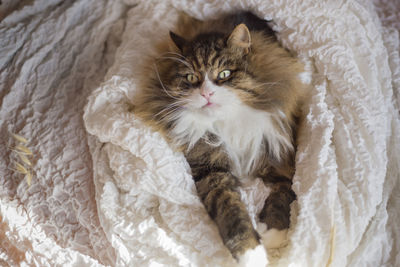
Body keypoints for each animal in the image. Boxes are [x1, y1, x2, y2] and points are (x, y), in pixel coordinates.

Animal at [134, 11, 306, 267]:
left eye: (224, 74)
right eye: (191, 77)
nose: (207, 93)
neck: (230, 121)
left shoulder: (281, 159)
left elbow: (282, 195)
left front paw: (273, 233)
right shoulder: (210, 168)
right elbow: (231, 210)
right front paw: (251, 253)